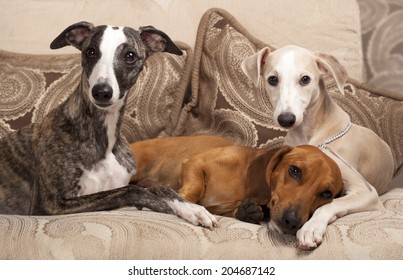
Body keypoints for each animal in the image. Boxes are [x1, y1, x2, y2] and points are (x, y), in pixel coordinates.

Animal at [132, 136, 344, 234]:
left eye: (327, 193)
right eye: (295, 170)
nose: (292, 221)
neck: (243, 179)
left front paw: (249, 211)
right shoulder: (194, 163)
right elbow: (194, 189)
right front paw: (189, 207)